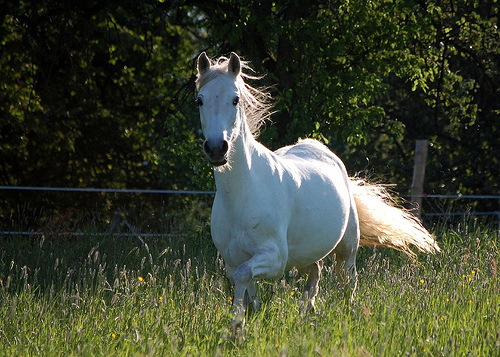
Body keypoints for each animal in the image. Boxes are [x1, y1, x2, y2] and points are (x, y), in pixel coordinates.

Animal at [194, 51, 438, 330]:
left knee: (348, 282)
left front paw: (237, 324)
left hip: (347, 249)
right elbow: (245, 286)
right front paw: (242, 323)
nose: (216, 148)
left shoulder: (274, 257)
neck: (243, 194)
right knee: (315, 273)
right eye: (199, 100)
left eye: (235, 100)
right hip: (305, 254)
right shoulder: (232, 260)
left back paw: (345, 315)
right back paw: (306, 311)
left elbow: (245, 276)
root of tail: (322, 149)